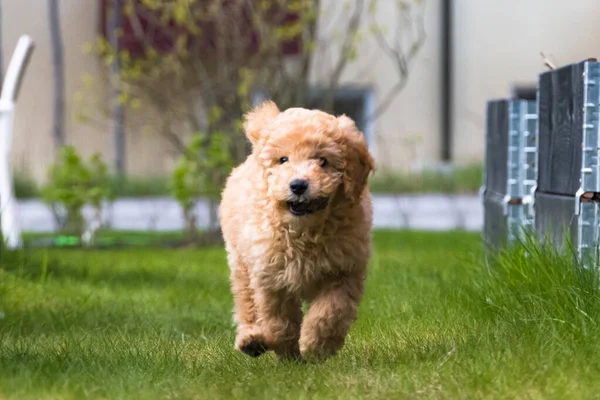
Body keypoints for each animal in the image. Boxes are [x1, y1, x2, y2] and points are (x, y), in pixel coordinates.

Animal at [218, 101, 372, 362]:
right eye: (283, 160)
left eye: (323, 161)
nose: (298, 185)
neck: (305, 231)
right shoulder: (271, 276)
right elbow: (280, 319)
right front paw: (288, 353)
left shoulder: (344, 271)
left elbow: (331, 312)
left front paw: (316, 346)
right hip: (240, 261)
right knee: (246, 301)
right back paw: (251, 339)